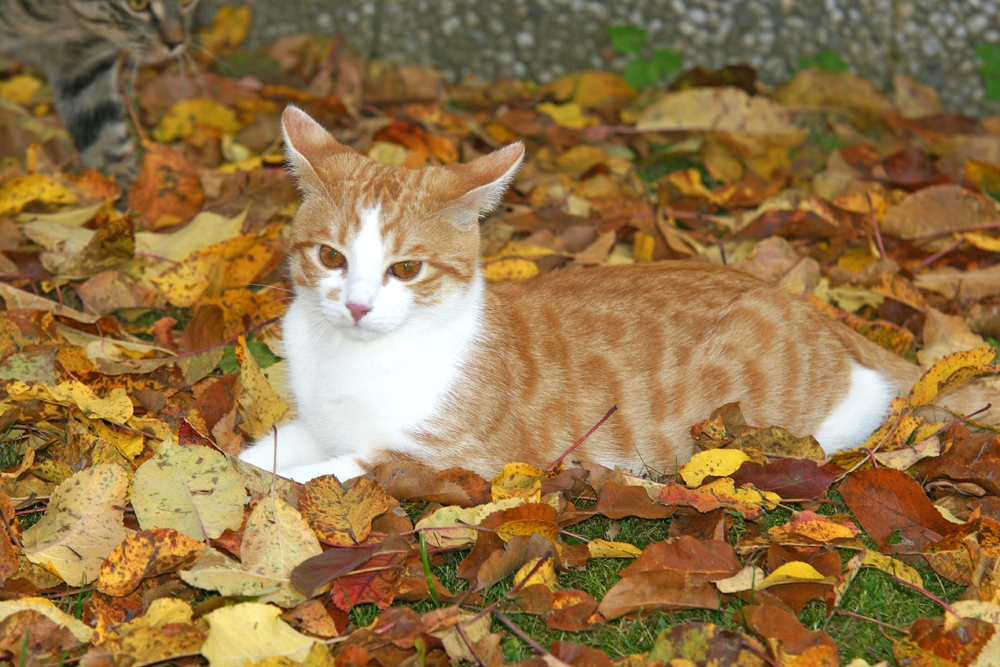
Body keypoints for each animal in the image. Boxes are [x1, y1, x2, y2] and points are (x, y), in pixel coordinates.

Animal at [0, 0, 201, 183]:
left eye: (186, 1)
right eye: (137, 3)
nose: (176, 42)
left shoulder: (88, 61)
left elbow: (103, 127)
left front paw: (124, 186)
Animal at [240, 108, 976, 486]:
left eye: (406, 268)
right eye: (332, 258)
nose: (357, 306)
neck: (351, 360)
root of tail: (806, 306)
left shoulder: (453, 459)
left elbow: (314, 475)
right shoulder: (315, 422)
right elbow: (260, 453)